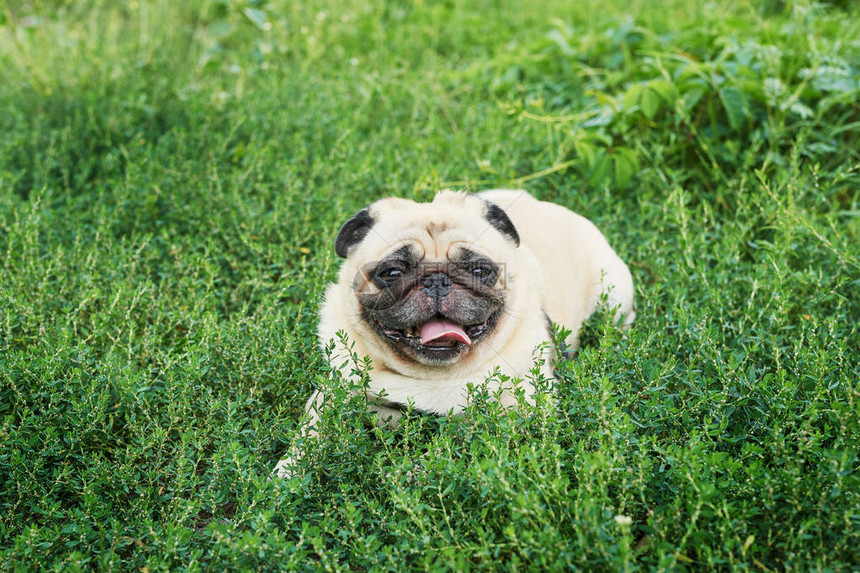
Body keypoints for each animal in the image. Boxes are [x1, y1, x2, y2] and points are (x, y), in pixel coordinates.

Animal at [272, 190, 636, 476]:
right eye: (391, 273)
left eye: (480, 270)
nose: (437, 279)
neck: (432, 377)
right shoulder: (332, 392)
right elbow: (312, 431)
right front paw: (289, 474)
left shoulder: (521, 413)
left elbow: (461, 442)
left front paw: (416, 473)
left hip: (614, 296)